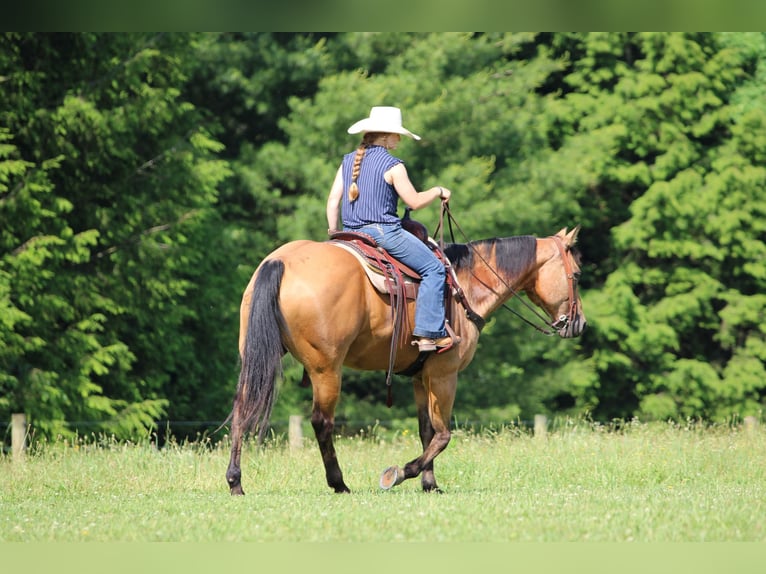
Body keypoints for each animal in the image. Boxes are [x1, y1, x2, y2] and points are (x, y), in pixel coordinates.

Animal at [225, 224, 586, 495]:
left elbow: (427, 431)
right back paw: (339, 483)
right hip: (326, 369)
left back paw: (235, 481)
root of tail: (281, 261)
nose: (580, 323)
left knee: (242, 410)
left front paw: (430, 484)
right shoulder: (444, 374)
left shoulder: (420, 376)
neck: (464, 286)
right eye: (578, 274)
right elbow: (443, 435)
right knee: (321, 422)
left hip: (256, 358)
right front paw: (399, 473)